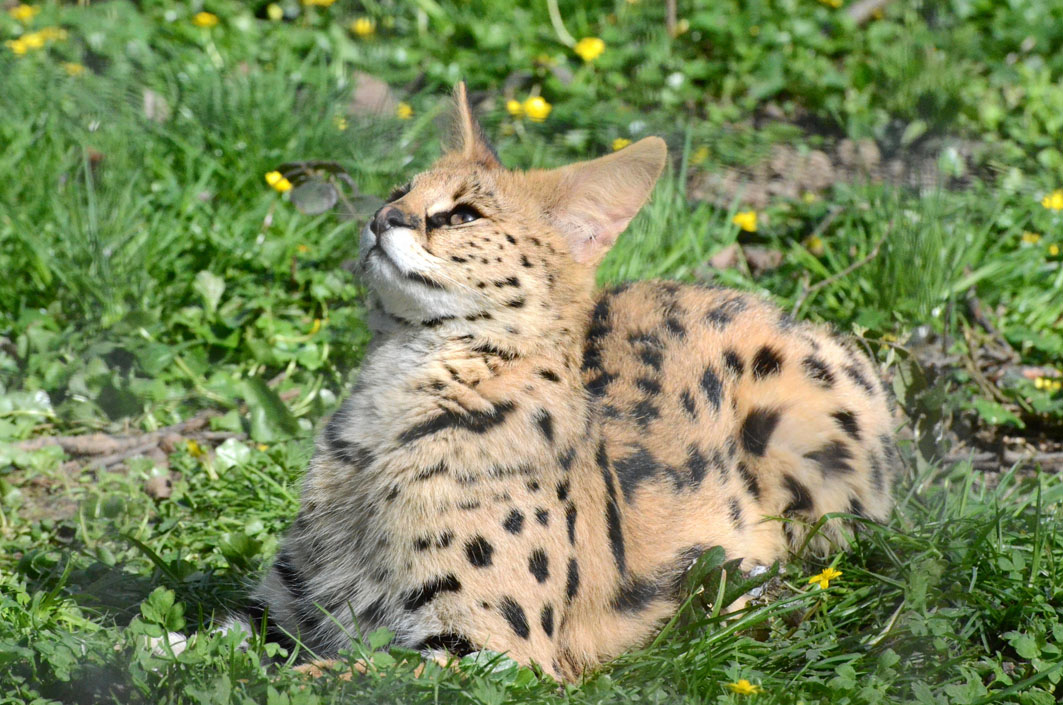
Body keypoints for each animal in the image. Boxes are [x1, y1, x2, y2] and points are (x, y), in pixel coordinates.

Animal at [237, 84, 899, 682]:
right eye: (400, 191)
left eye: (464, 215)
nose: (382, 217)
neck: (398, 387)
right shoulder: (281, 606)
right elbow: (228, 648)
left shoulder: (492, 650)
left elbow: (318, 675)